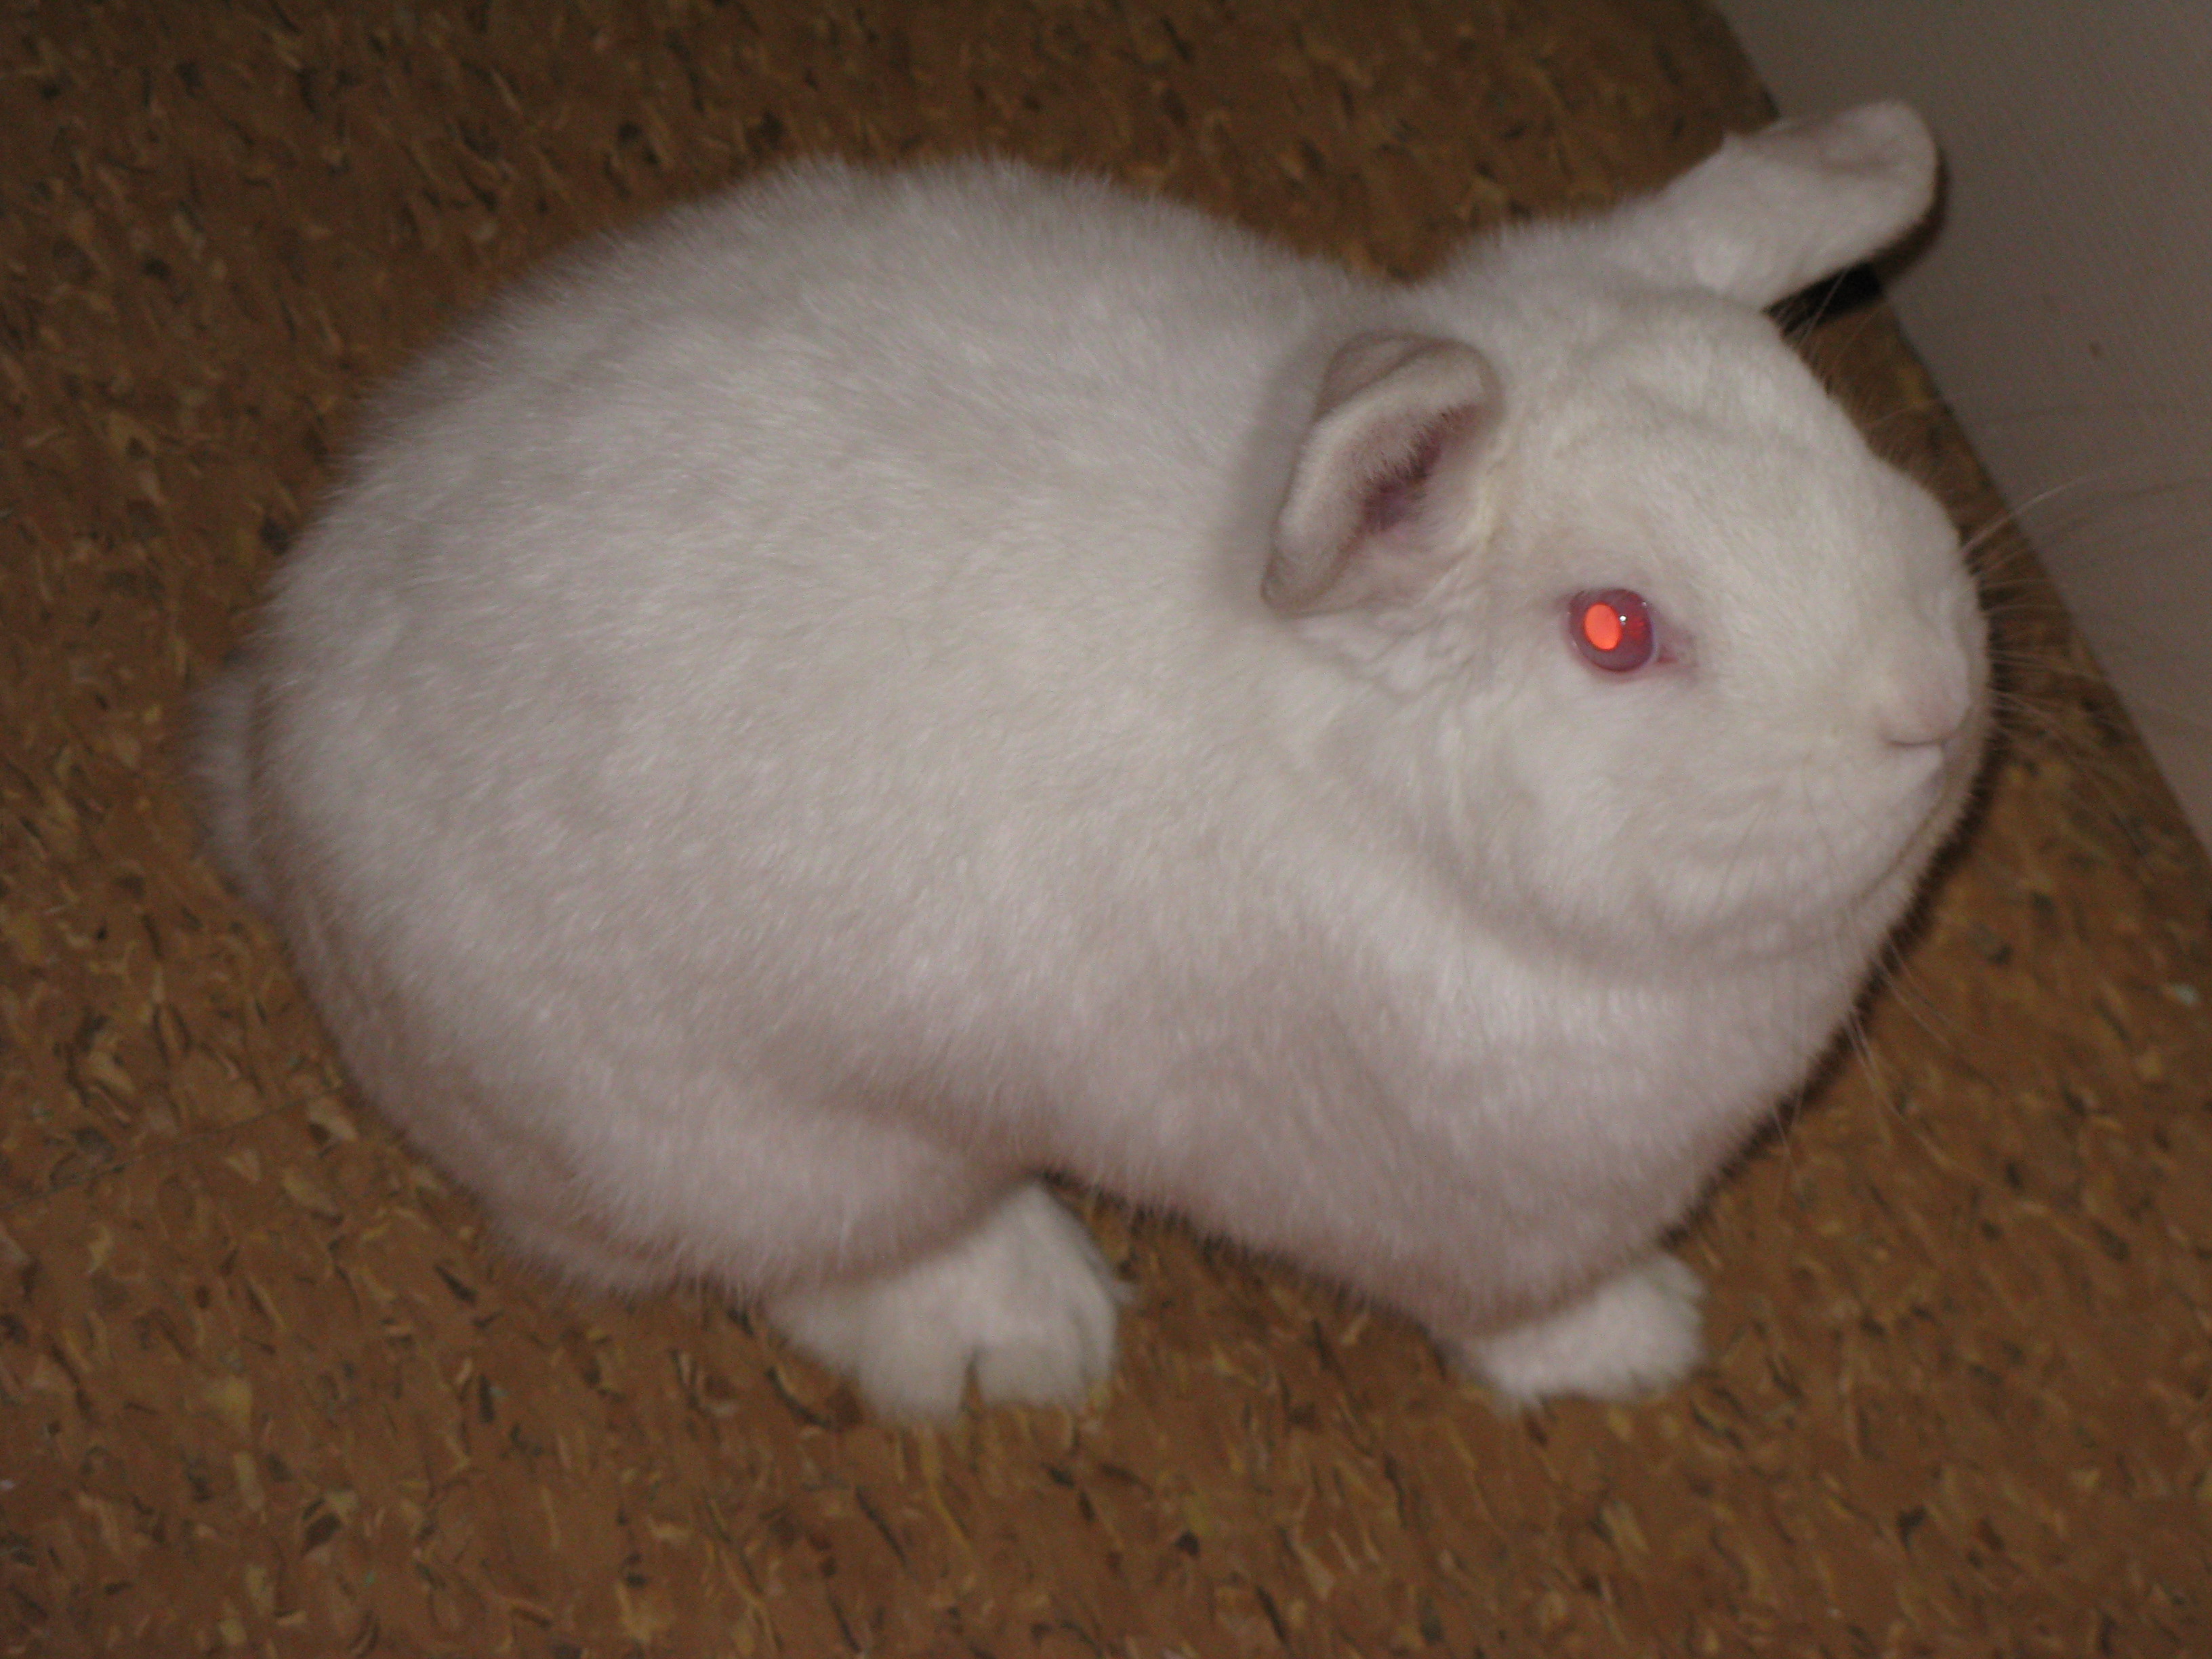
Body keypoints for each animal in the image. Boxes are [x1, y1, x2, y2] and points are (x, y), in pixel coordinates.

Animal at [193, 102, 1986, 1419]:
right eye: (1616, 630)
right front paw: (1646, 1344)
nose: (1938, 698)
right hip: (781, 1152)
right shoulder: (1480, 1222)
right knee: (804, 1257)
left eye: (1830, 430)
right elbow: (1528, 1311)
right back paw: (1024, 1325)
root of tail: (269, 766)